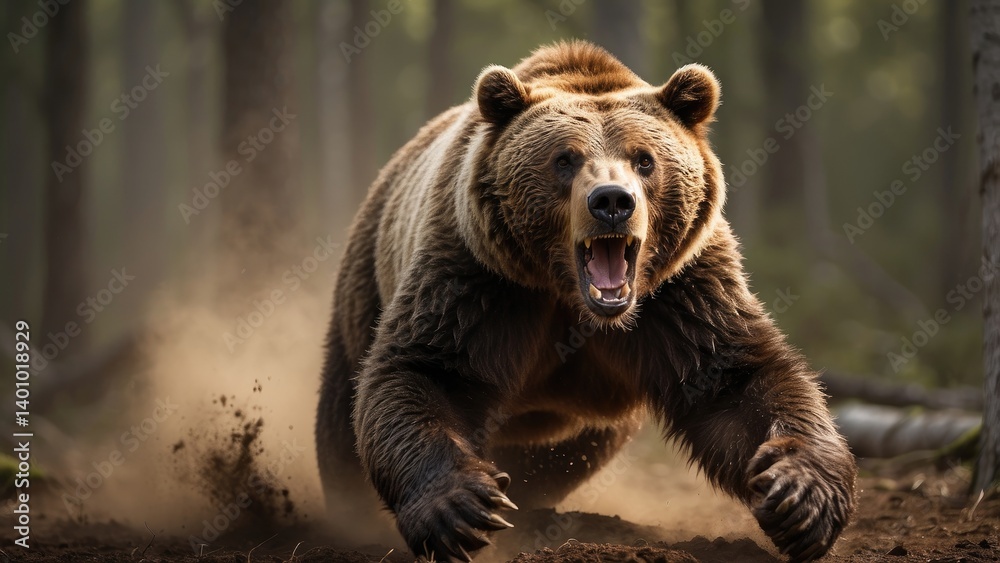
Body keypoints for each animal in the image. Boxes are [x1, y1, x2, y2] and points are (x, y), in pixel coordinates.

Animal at [316, 40, 857, 562]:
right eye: (564, 159)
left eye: (644, 158)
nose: (612, 201)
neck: (571, 300)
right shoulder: (478, 277)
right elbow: (426, 371)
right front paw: (461, 508)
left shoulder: (682, 293)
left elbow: (739, 380)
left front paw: (801, 498)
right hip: (367, 280)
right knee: (343, 410)